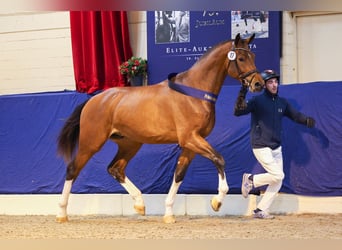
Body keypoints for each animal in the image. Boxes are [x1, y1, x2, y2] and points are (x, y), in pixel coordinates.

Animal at [56, 32, 264, 223]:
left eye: (254, 56)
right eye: (241, 58)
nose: (258, 84)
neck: (194, 93)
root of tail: (94, 99)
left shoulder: (191, 144)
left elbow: (179, 174)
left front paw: (169, 213)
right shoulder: (190, 138)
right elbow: (219, 159)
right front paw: (217, 201)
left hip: (130, 143)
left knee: (115, 169)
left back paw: (140, 204)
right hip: (91, 143)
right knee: (72, 169)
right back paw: (62, 214)